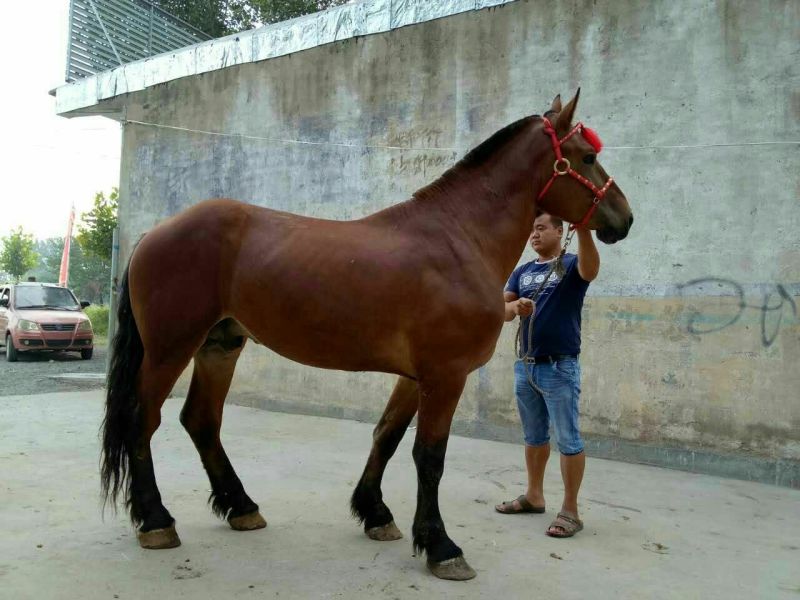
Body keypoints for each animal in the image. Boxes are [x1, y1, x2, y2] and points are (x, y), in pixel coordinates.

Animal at [101, 90, 633, 580]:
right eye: (587, 157)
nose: (624, 218)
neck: (459, 238)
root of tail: (153, 234)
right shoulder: (446, 375)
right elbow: (429, 456)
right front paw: (441, 546)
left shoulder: (417, 377)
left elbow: (387, 436)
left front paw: (375, 514)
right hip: (170, 349)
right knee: (143, 420)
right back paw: (156, 521)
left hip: (220, 345)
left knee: (201, 420)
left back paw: (241, 506)